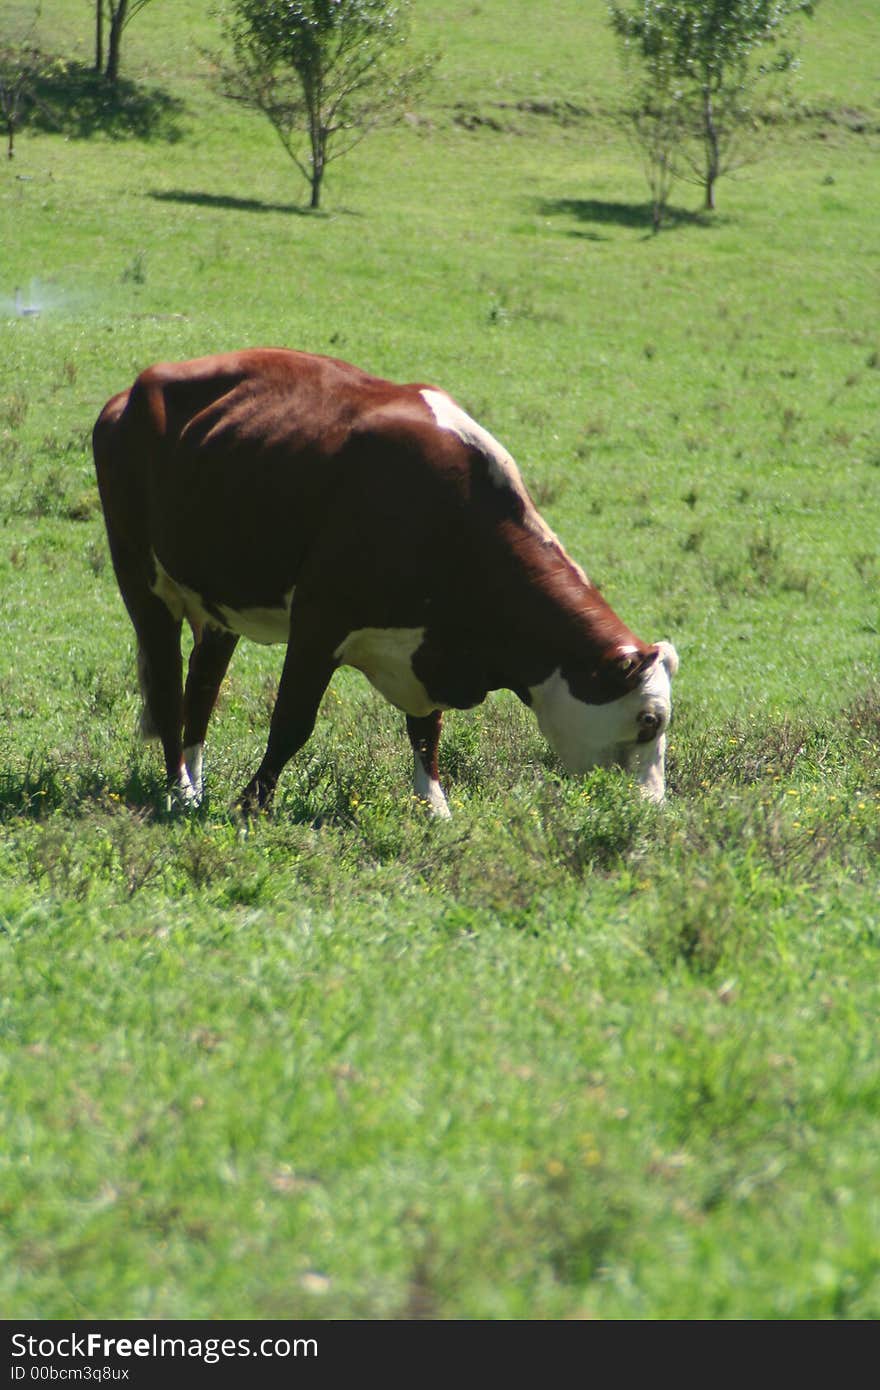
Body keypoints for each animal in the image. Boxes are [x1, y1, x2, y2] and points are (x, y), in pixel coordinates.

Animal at [91, 347, 678, 817]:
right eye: (649, 721)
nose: (651, 808)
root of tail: (131, 392)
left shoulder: (426, 647)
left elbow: (426, 731)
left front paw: (434, 807)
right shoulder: (319, 622)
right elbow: (292, 722)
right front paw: (251, 803)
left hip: (217, 608)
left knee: (202, 690)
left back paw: (194, 785)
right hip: (142, 582)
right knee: (169, 689)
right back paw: (179, 792)